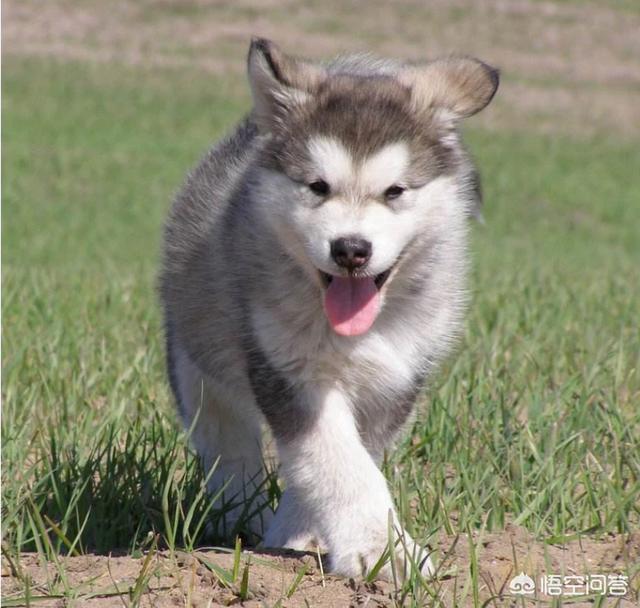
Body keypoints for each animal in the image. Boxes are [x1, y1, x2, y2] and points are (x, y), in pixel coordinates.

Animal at [159, 38, 496, 580]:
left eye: (395, 191)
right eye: (318, 186)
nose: (350, 249)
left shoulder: (396, 378)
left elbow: (346, 461)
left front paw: (325, 538)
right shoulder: (288, 369)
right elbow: (337, 462)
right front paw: (384, 552)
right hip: (198, 360)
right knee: (228, 444)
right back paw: (245, 520)